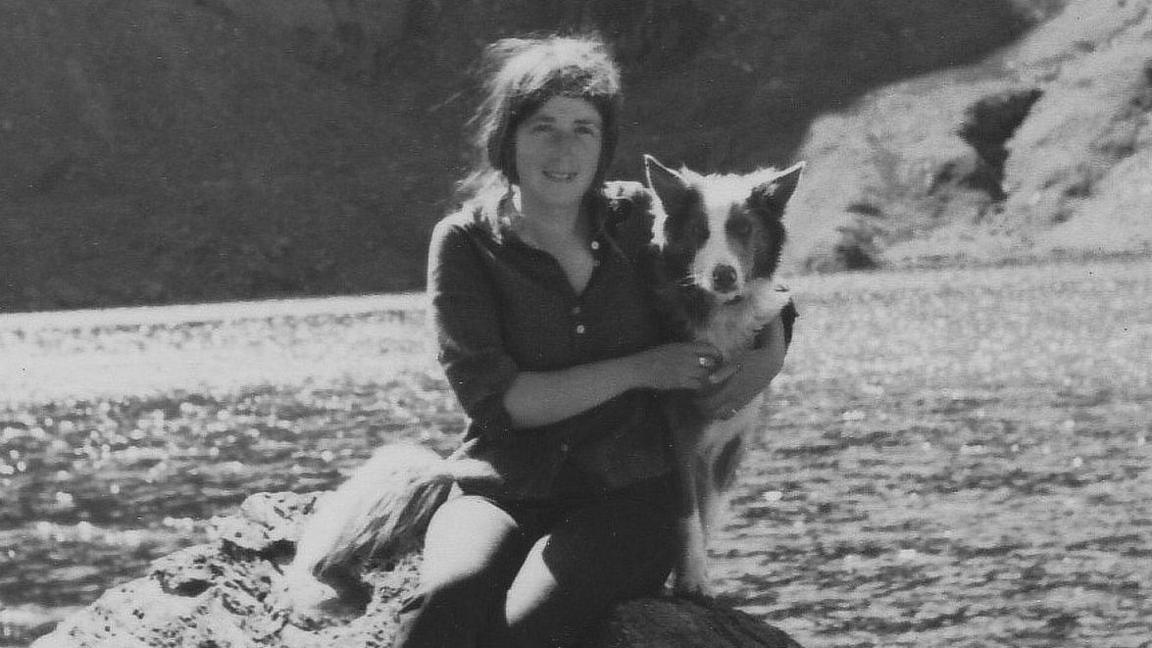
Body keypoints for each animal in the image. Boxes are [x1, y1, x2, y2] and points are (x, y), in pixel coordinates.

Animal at [645, 153, 806, 594]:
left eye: (743, 229)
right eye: (699, 232)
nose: (724, 274)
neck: (722, 313)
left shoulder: (734, 441)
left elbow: (709, 514)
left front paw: (693, 573)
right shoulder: (676, 435)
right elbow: (688, 513)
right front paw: (694, 578)